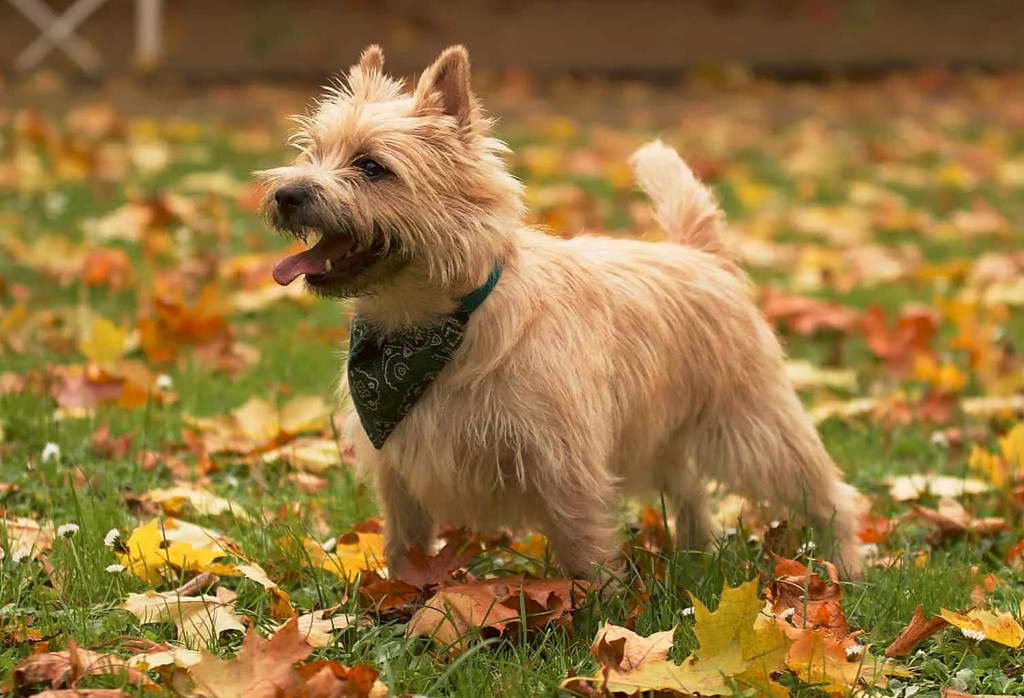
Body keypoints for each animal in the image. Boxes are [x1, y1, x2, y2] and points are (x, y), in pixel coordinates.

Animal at [258, 42, 864, 577]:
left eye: (372, 167)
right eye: (311, 153)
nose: (287, 193)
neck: (431, 325)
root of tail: (702, 255)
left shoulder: (564, 464)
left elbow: (582, 549)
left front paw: (593, 618)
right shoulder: (399, 474)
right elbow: (406, 545)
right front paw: (400, 602)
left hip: (753, 428)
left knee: (829, 494)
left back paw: (846, 569)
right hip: (662, 435)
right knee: (691, 491)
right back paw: (694, 556)